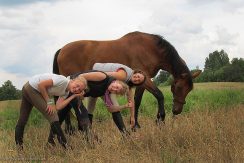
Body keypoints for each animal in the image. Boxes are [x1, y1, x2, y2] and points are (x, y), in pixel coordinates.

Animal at [52, 30, 201, 129]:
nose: (177, 111)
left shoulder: (142, 81)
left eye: (189, 90)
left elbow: (137, 101)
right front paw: (160, 119)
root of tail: (61, 49)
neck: (149, 49)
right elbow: (159, 95)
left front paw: (136, 125)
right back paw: (71, 130)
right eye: (177, 87)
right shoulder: (146, 78)